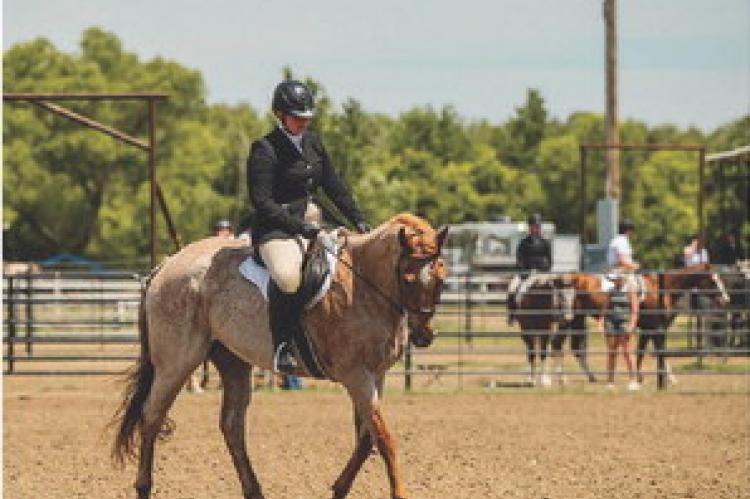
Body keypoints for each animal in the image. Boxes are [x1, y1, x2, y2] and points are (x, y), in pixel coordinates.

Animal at [110, 213, 448, 499]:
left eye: (442, 280)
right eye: (407, 279)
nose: (424, 336)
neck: (364, 285)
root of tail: (166, 265)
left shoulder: (374, 375)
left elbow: (367, 439)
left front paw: (339, 488)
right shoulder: (357, 376)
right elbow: (384, 438)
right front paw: (398, 493)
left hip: (233, 361)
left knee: (232, 425)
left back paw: (254, 491)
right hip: (176, 362)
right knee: (152, 416)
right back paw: (144, 487)